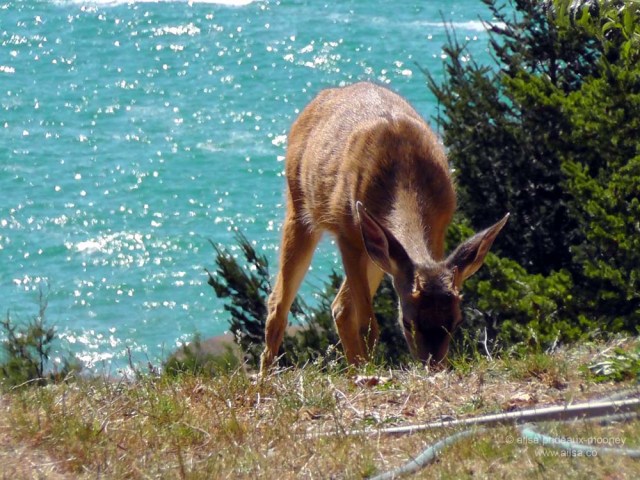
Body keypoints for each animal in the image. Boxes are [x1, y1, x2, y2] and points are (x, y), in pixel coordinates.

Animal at [259, 82, 508, 375]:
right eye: (406, 322)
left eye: (456, 322)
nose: (433, 366)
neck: (405, 173)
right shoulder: (348, 233)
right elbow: (367, 323)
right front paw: (369, 371)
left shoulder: (437, 232)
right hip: (300, 208)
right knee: (281, 303)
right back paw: (265, 377)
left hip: (378, 252)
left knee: (338, 306)